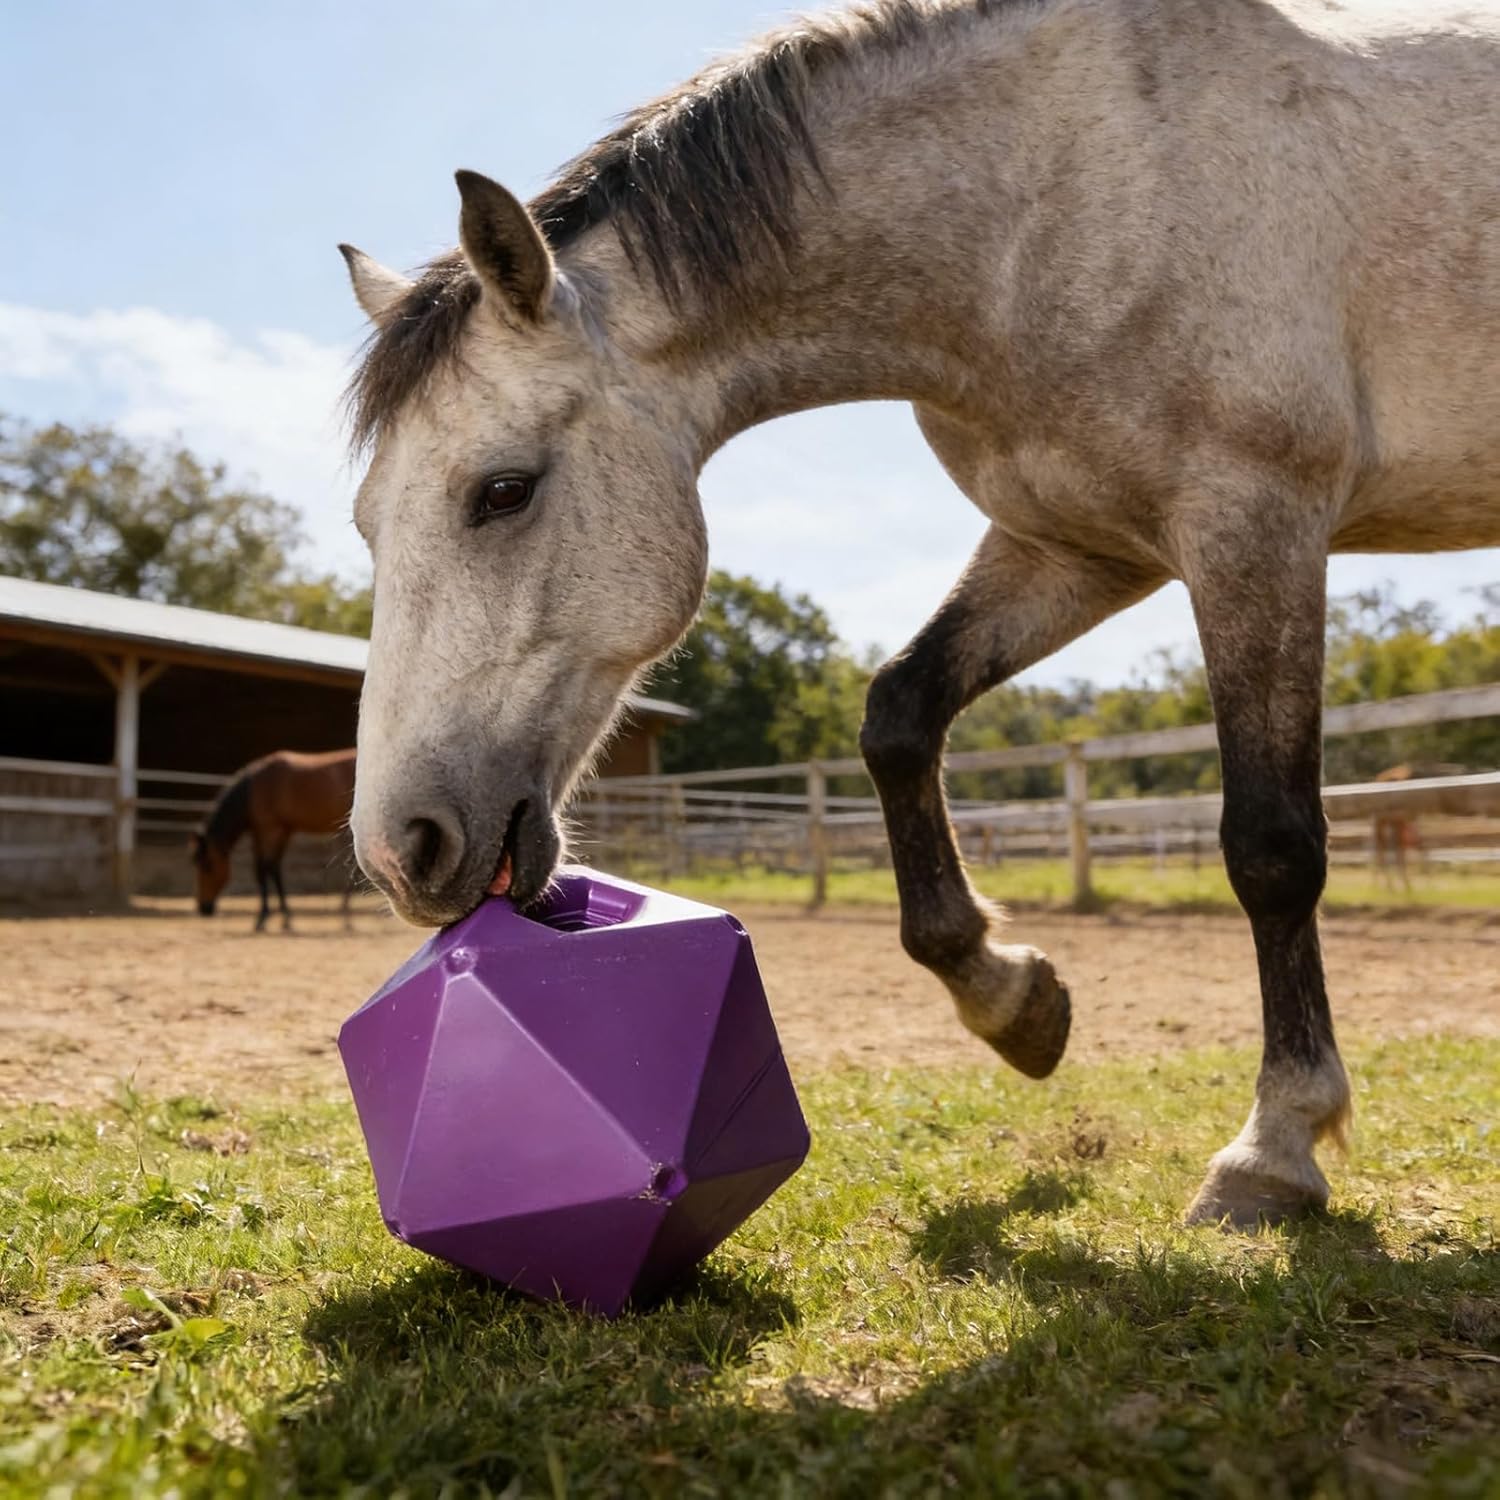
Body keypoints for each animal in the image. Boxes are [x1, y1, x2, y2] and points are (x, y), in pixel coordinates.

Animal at [189, 749, 358, 931]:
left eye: (207, 866)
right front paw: (280, 917)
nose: (204, 908)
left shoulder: (270, 829)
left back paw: (346, 916)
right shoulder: (273, 831)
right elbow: (269, 869)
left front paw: (266, 917)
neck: (253, 791)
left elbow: (266, 868)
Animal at [335, 0, 1500, 1227]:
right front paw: (1014, 999)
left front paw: (1273, 1147)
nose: (400, 849)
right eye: (368, 520)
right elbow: (898, 717)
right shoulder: (1073, 547)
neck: (1056, 194)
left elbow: (1271, 844)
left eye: (503, 491)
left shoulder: (1254, 525)